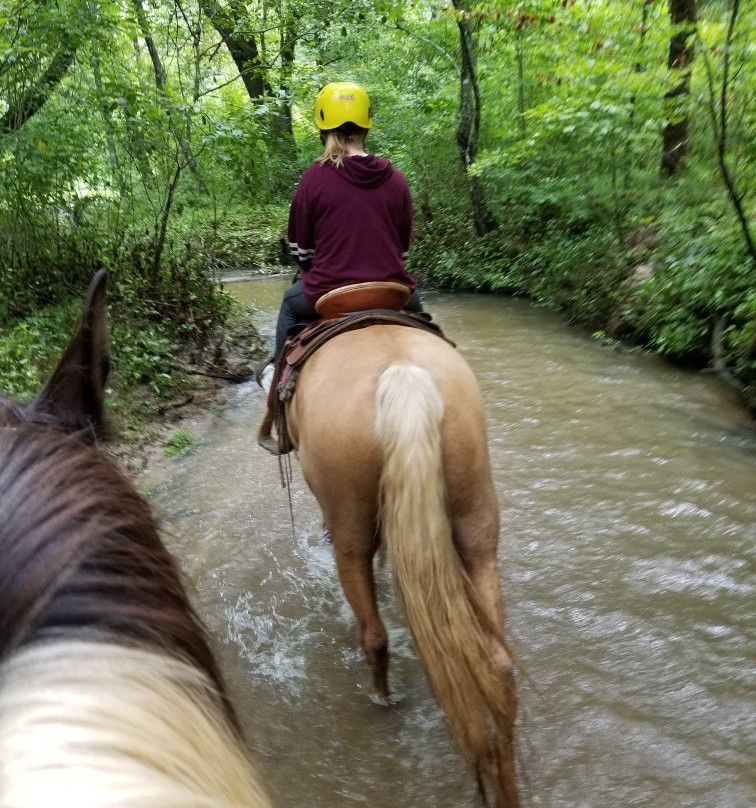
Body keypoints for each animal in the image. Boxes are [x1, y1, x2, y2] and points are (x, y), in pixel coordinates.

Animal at [284, 322, 520, 808]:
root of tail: (404, 375)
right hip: (476, 519)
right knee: (499, 666)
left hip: (351, 525)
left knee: (373, 634)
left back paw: (381, 699)